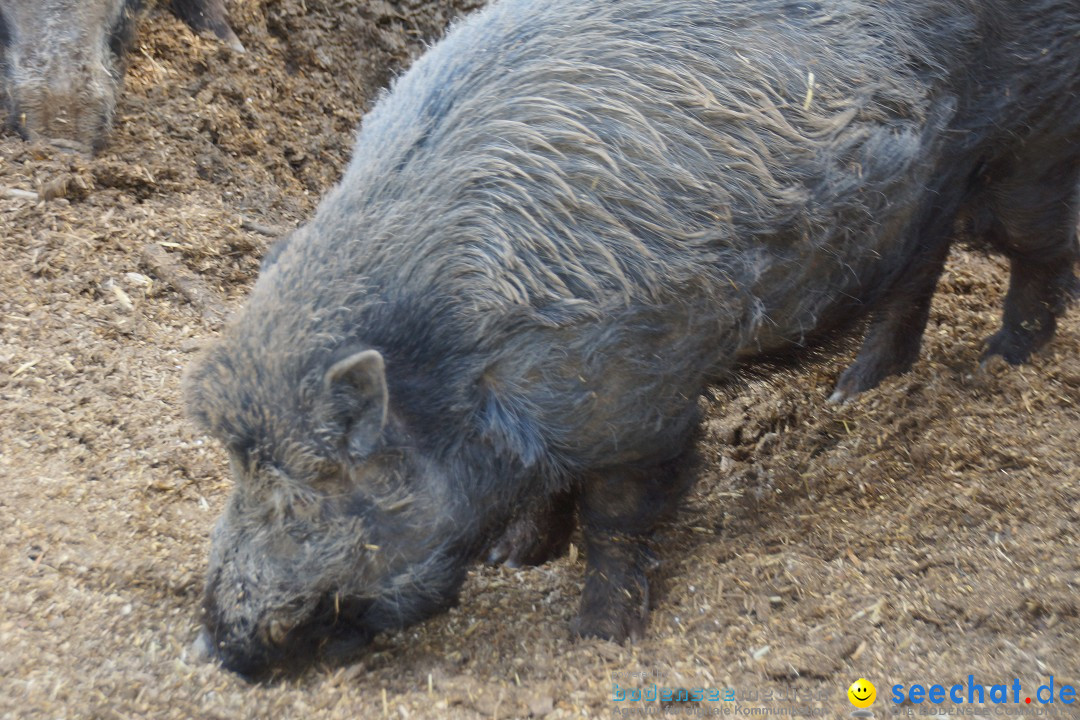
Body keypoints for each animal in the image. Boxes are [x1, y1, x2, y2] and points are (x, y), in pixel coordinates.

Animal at [185, 0, 1080, 677]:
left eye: (311, 487)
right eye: (238, 469)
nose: (218, 647)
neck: (453, 359)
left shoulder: (636, 402)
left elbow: (618, 517)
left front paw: (596, 639)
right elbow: (549, 495)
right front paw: (515, 560)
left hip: (1033, 137)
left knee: (1038, 253)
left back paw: (998, 367)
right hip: (922, 202)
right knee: (915, 276)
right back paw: (853, 396)